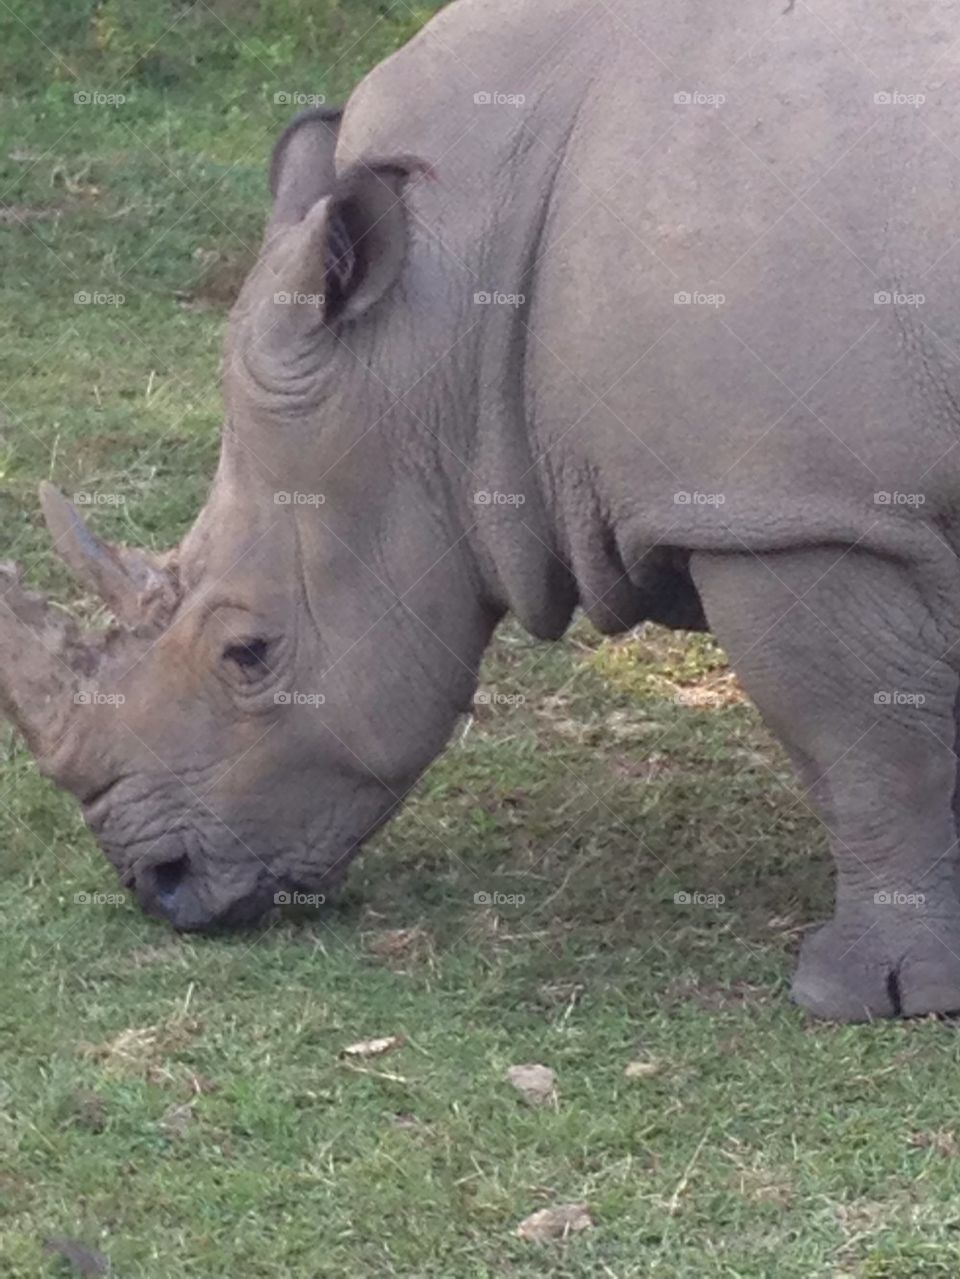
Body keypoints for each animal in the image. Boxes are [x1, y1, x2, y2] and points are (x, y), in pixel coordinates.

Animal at [5, 0, 960, 1022]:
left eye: (249, 654)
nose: (159, 884)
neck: (441, 325)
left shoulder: (792, 510)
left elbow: (861, 744)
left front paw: (868, 994)